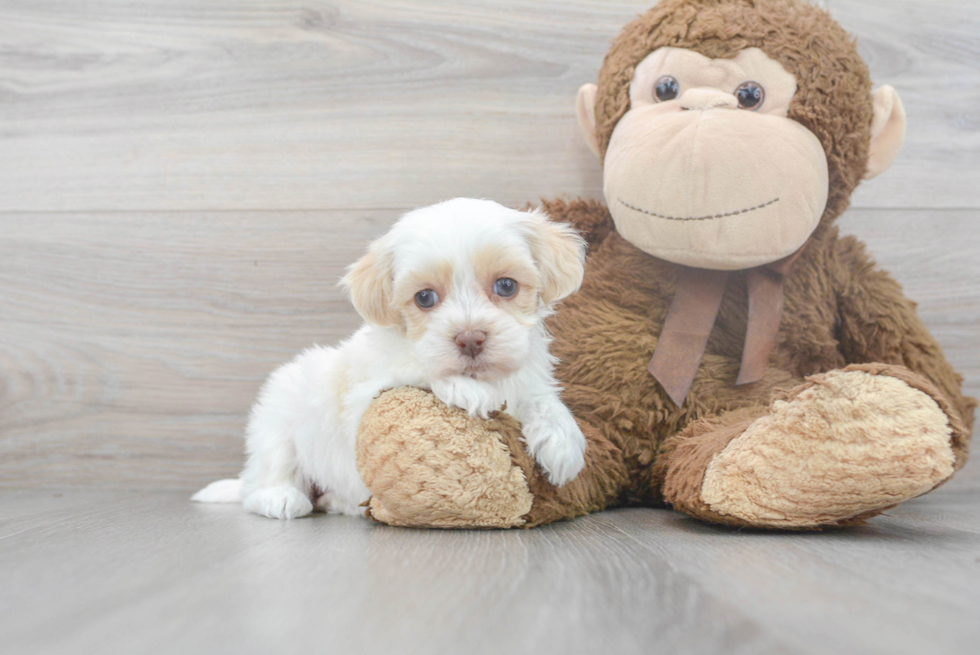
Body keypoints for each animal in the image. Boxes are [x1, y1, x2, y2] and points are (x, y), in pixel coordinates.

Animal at [195, 197, 584, 520]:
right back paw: (281, 497)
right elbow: (419, 369)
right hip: (277, 422)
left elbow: (542, 399)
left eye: (506, 286)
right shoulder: (366, 396)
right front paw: (471, 391)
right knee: (263, 480)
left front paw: (563, 440)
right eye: (425, 297)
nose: (470, 339)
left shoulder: (528, 376)